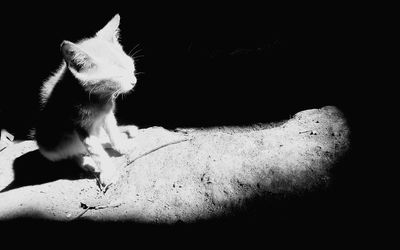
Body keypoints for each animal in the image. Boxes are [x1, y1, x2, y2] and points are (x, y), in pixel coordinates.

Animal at [36, 14, 139, 188]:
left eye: (131, 66)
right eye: (118, 76)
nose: (134, 81)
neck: (99, 99)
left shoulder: (107, 114)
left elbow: (112, 130)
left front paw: (120, 144)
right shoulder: (80, 126)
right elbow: (95, 150)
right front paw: (107, 171)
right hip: (50, 148)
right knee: (72, 153)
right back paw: (84, 162)